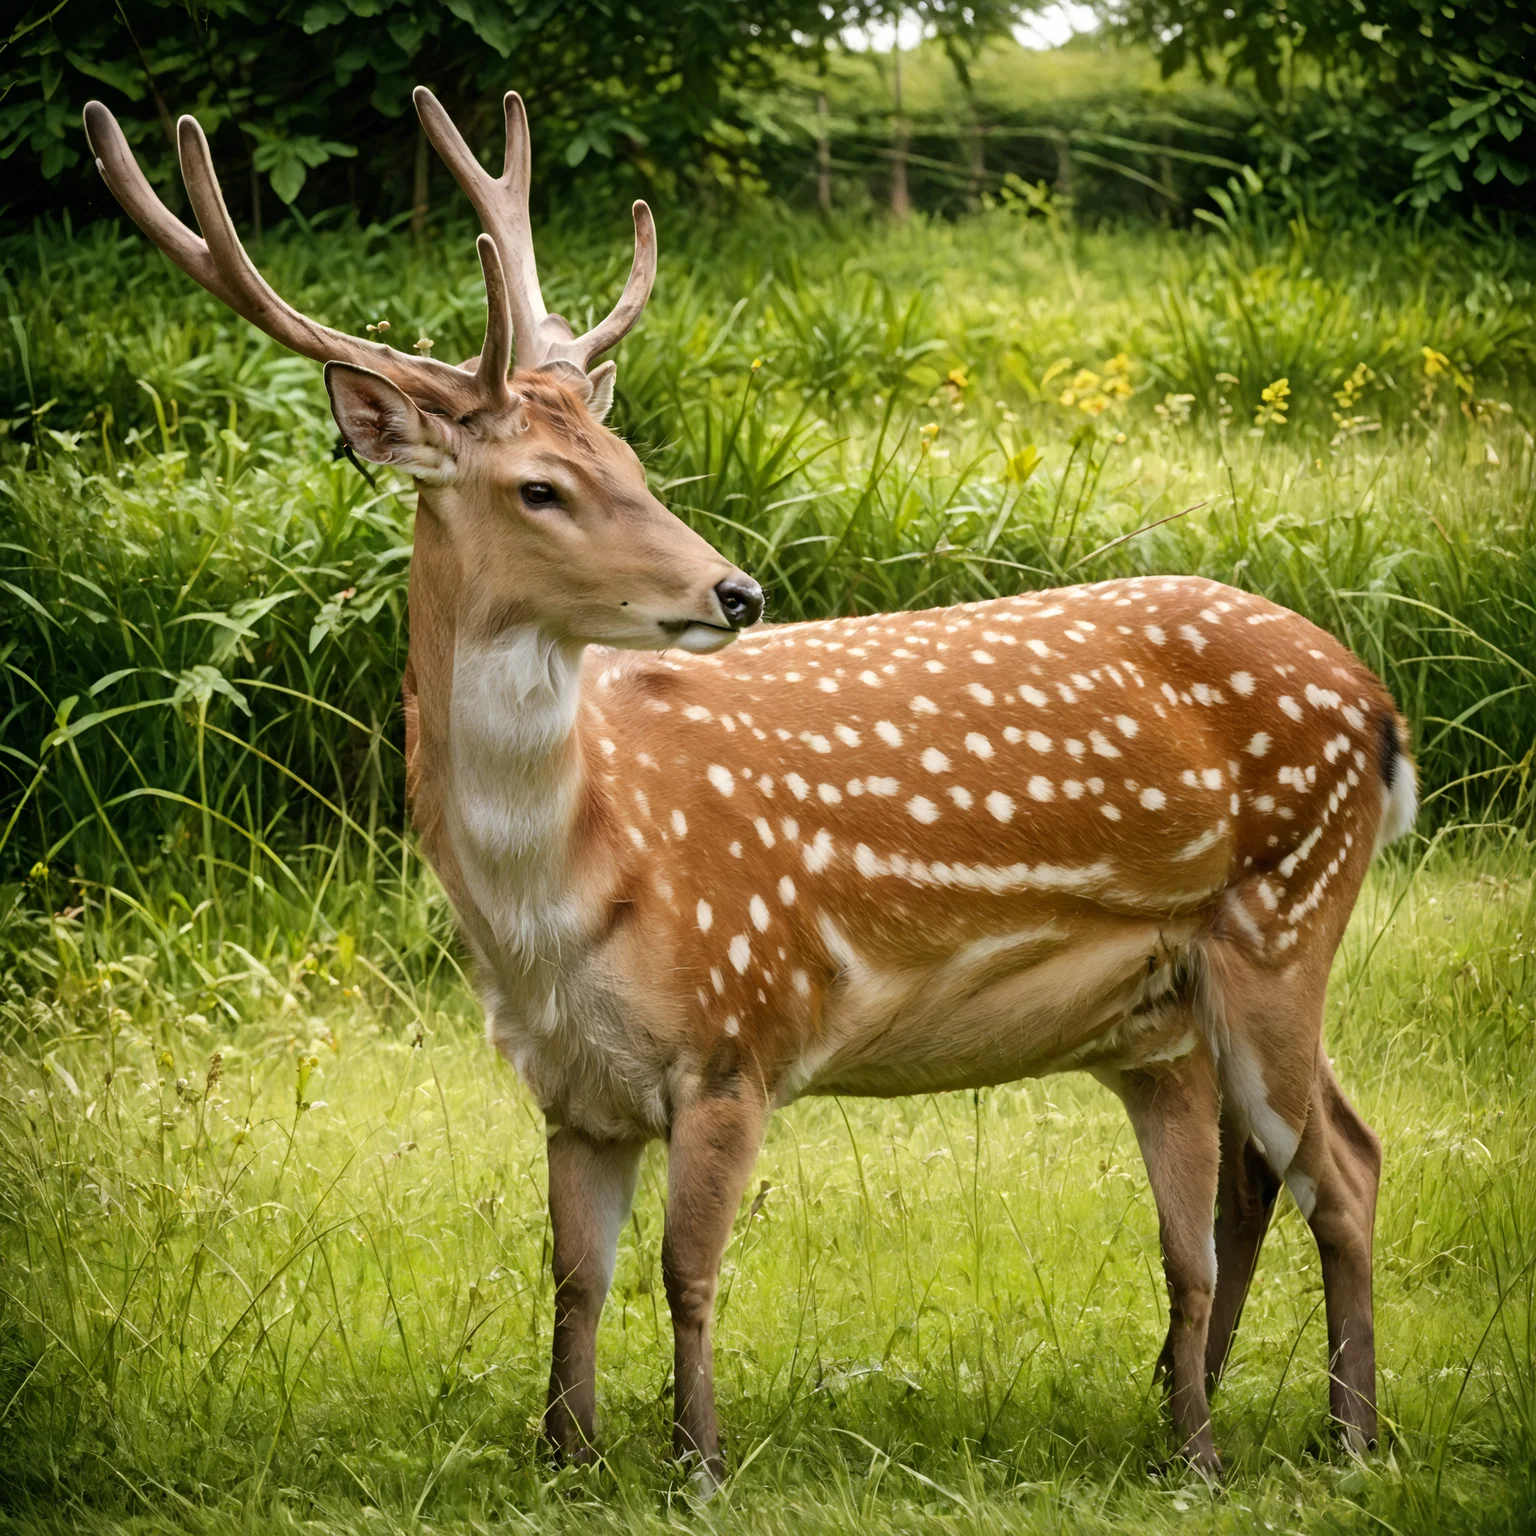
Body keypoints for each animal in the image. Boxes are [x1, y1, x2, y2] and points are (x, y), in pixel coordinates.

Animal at [83, 86, 1415, 1489]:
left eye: (629, 456)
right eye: (540, 485)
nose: (734, 591)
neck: (571, 890)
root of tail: (1379, 712)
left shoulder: (737, 1029)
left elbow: (687, 1270)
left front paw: (700, 1463)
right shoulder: (571, 1087)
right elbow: (572, 1277)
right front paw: (564, 1456)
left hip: (1285, 918)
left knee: (1346, 1164)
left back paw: (1349, 1436)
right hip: (1177, 1006)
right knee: (1257, 1182)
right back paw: (1198, 1426)